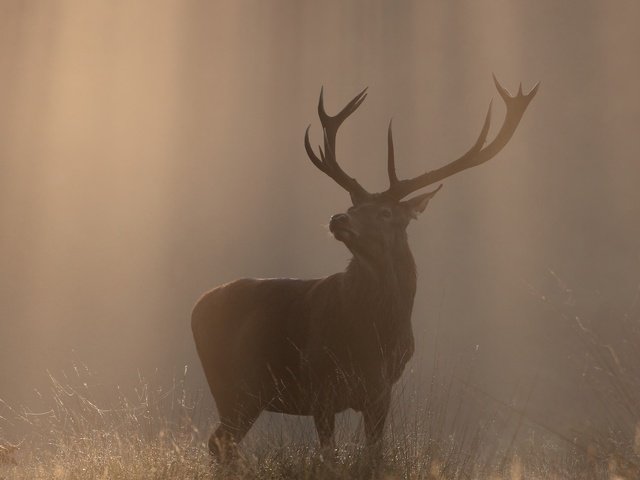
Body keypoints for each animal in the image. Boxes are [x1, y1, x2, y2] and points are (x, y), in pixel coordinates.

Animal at [191, 77, 540, 464]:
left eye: (386, 213)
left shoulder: (380, 392)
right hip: (233, 385)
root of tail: (196, 307)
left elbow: (374, 453)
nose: (338, 218)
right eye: (353, 205)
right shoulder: (321, 383)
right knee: (221, 442)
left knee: (221, 443)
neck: (374, 334)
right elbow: (328, 456)